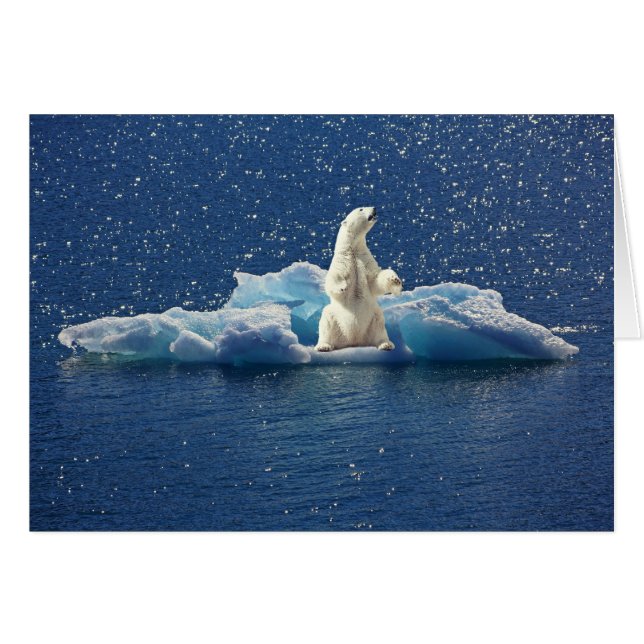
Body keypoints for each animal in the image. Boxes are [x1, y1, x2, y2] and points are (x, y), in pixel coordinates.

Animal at [315, 207, 403, 352]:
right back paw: (323, 346)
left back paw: (385, 344)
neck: (353, 249)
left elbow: (375, 280)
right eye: (361, 209)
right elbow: (333, 279)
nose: (374, 208)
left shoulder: (364, 259)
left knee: (379, 324)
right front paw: (342, 286)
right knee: (326, 320)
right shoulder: (342, 261)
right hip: (335, 317)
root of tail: (354, 341)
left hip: (372, 317)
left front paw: (395, 279)